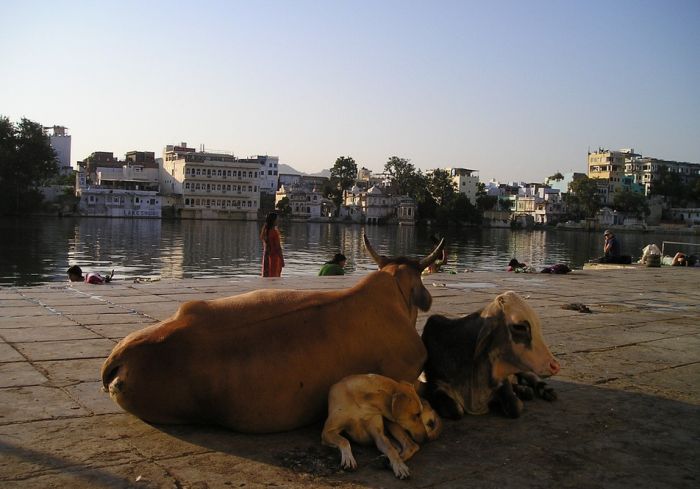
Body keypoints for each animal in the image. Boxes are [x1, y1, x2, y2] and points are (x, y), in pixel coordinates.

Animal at [418, 290, 560, 420]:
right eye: (519, 327)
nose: (555, 366)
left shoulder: (501, 379)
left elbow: (514, 407)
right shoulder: (436, 384)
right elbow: (455, 411)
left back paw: (545, 391)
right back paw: (524, 390)